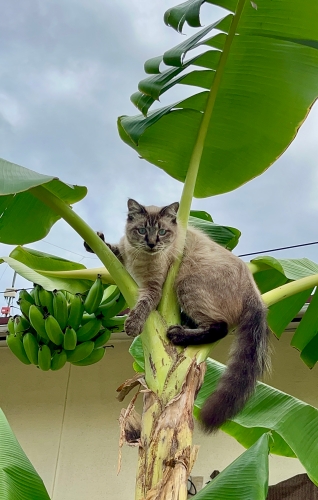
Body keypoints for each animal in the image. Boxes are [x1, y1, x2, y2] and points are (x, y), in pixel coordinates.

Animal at [84, 197, 270, 432]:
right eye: (142, 230)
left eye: (162, 232)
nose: (152, 243)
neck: (140, 257)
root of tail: (256, 293)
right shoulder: (124, 257)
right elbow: (113, 249)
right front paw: (95, 240)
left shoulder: (153, 289)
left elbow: (142, 307)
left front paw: (132, 326)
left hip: (186, 283)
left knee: (219, 328)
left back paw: (177, 334)